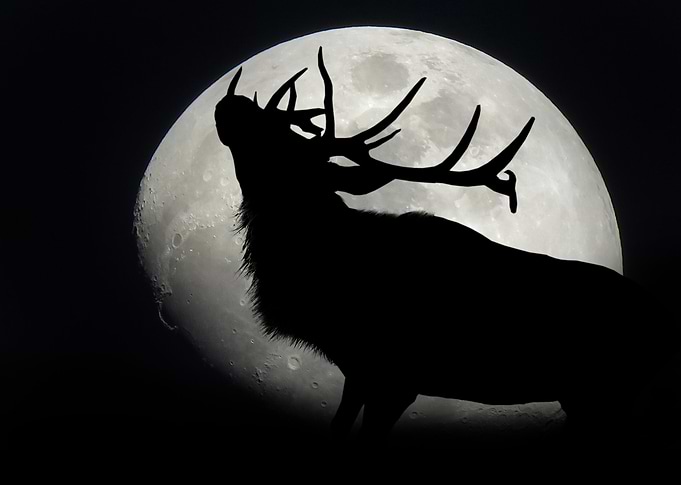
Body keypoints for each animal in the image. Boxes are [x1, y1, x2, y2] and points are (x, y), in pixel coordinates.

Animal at [214, 47, 680, 452]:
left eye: (285, 146)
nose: (232, 102)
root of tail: (663, 324)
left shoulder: (399, 377)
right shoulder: (359, 370)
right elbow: (338, 429)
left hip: (604, 393)